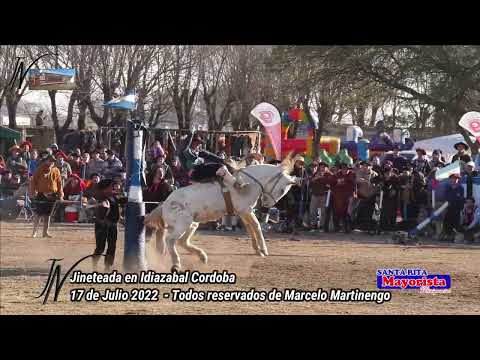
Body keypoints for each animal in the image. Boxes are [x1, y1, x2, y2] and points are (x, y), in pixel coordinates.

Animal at [143, 151, 300, 270]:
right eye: (282, 190)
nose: (267, 204)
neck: (250, 182)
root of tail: (165, 204)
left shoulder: (243, 213)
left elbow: (250, 229)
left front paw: (257, 250)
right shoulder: (246, 210)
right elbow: (256, 226)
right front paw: (263, 249)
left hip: (192, 224)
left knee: (182, 241)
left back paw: (202, 256)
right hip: (182, 224)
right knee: (170, 240)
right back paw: (176, 264)